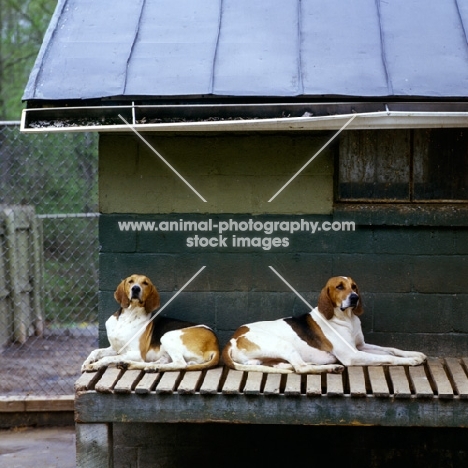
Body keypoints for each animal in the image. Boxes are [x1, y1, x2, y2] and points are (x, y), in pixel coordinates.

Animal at [82, 274, 219, 372]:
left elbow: (107, 357)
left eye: (145, 283)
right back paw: (136, 365)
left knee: (180, 364)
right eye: (131, 281)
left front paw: (95, 365)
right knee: (160, 362)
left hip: (167, 336)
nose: (136, 288)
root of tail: (215, 344)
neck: (128, 317)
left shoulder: (136, 353)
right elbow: (96, 351)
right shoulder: (116, 348)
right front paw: (87, 362)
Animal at [223, 276, 428, 374]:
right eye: (339, 287)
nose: (355, 298)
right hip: (283, 344)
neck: (347, 318)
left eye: (354, 286)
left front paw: (414, 354)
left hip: (264, 358)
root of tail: (232, 338)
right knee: (301, 368)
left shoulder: (360, 346)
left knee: (288, 366)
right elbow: (389, 358)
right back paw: (330, 367)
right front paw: (411, 361)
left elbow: (391, 349)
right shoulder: (353, 355)